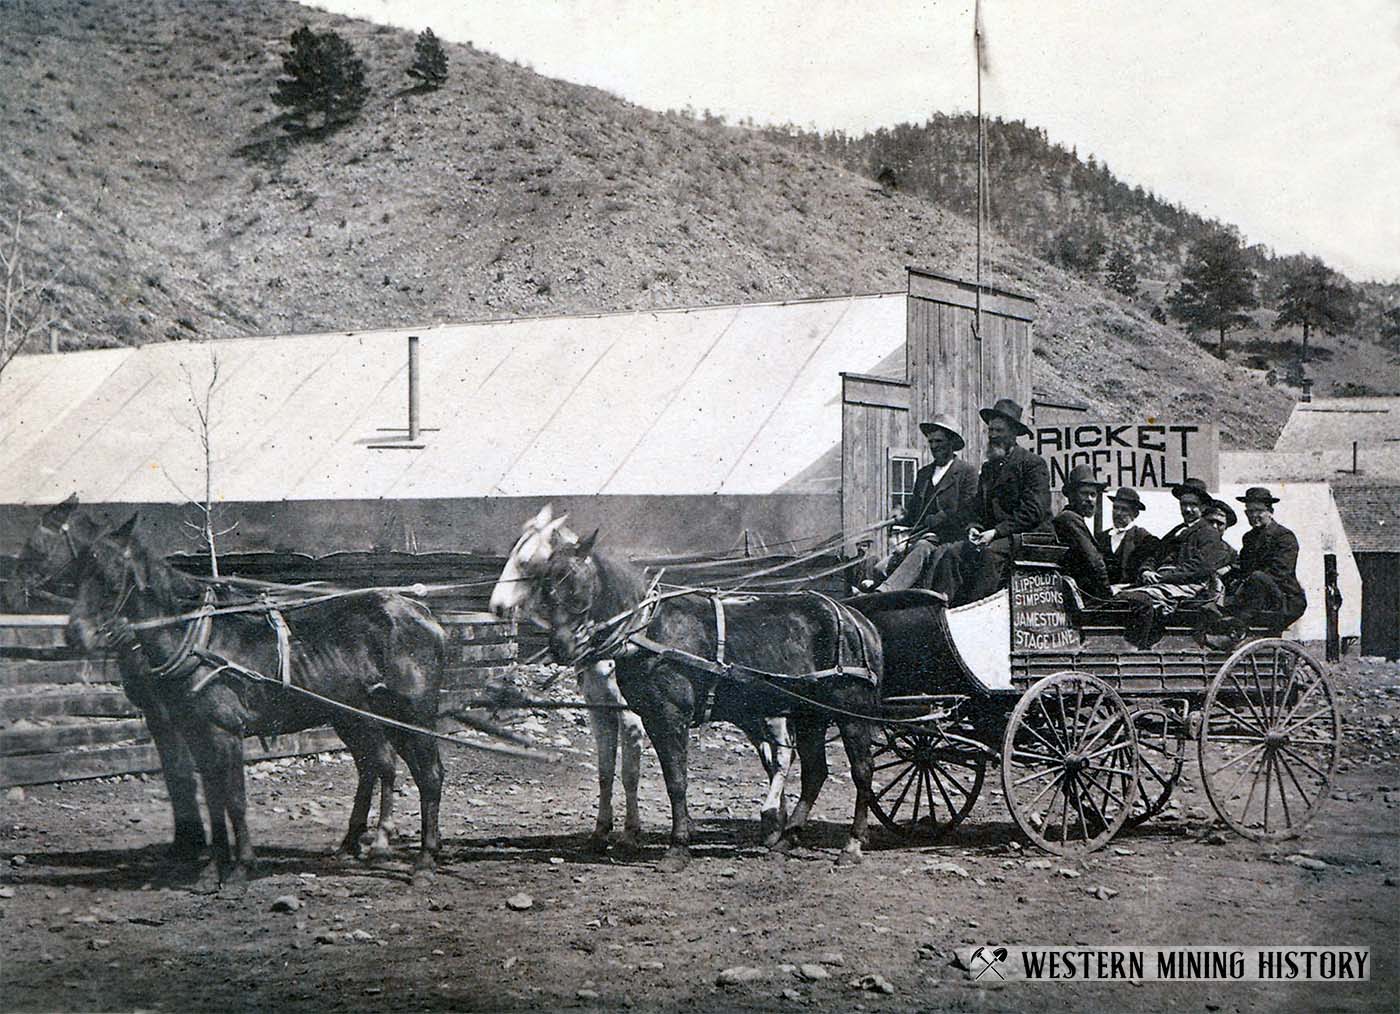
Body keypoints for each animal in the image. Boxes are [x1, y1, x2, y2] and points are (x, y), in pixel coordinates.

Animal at [65, 518, 442, 890]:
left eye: (112, 576)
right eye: (78, 571)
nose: (75, 635)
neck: (201, 640)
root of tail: (423, 613)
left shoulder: (224, 733)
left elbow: (234, 800)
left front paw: (241, 868)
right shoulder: (197, 733)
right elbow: (214, 801)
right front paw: (211, 870)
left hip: (412, 717)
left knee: (428, 775)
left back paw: (423, 859)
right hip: (357, 717)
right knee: (377, 766)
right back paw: (364, 845)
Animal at [529, 529, 879, 873]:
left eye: (576, 585)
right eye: (545, 586)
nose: (561, 647)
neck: (650, 630)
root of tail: (858, 621)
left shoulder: (670, 717)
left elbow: (676, 781)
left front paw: (677, 847)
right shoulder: (646, 717)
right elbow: (633, 775)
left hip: (849, 713)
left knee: (861, 771)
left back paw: (851, 844)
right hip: (809, 714)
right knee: (814, 772)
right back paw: (786, 839)